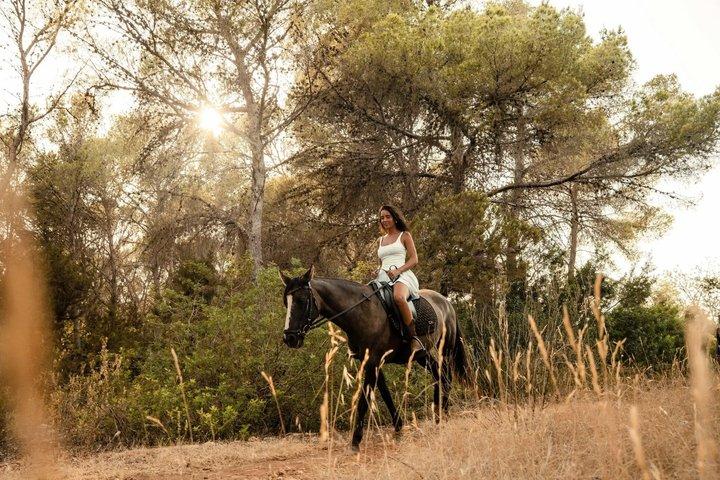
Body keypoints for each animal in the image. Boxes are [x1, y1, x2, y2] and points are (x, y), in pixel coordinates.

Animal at [280, 266, 470, 449]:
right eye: (286, 302)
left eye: (301, 301)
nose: (290, 338)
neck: (361, 312)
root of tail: (446, 302)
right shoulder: (371, 362)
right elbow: (384, 392)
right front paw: (398, 427)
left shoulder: (372, 361)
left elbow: (365, 397)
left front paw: (356, 440)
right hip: (421, 355)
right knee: (438, 375)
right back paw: (439, 415)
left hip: (445, 349)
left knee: (446, 376)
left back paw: (443, 415)